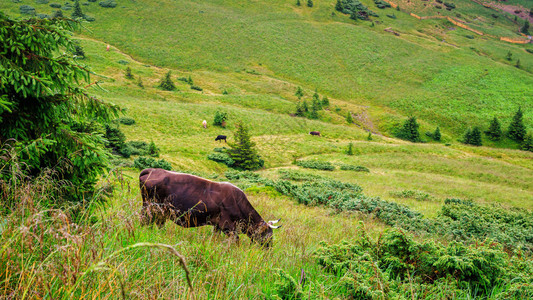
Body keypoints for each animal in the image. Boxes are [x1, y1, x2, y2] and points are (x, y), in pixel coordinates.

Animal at [137, 168, 280, 247]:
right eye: (268, 236)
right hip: (151, 206)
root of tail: (152, 170)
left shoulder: (217, 226)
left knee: (157, 223)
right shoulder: (228, 226)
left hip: (160, 210)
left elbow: (215, 238)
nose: (269, 249)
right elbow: (236, 242)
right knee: (145, 220)